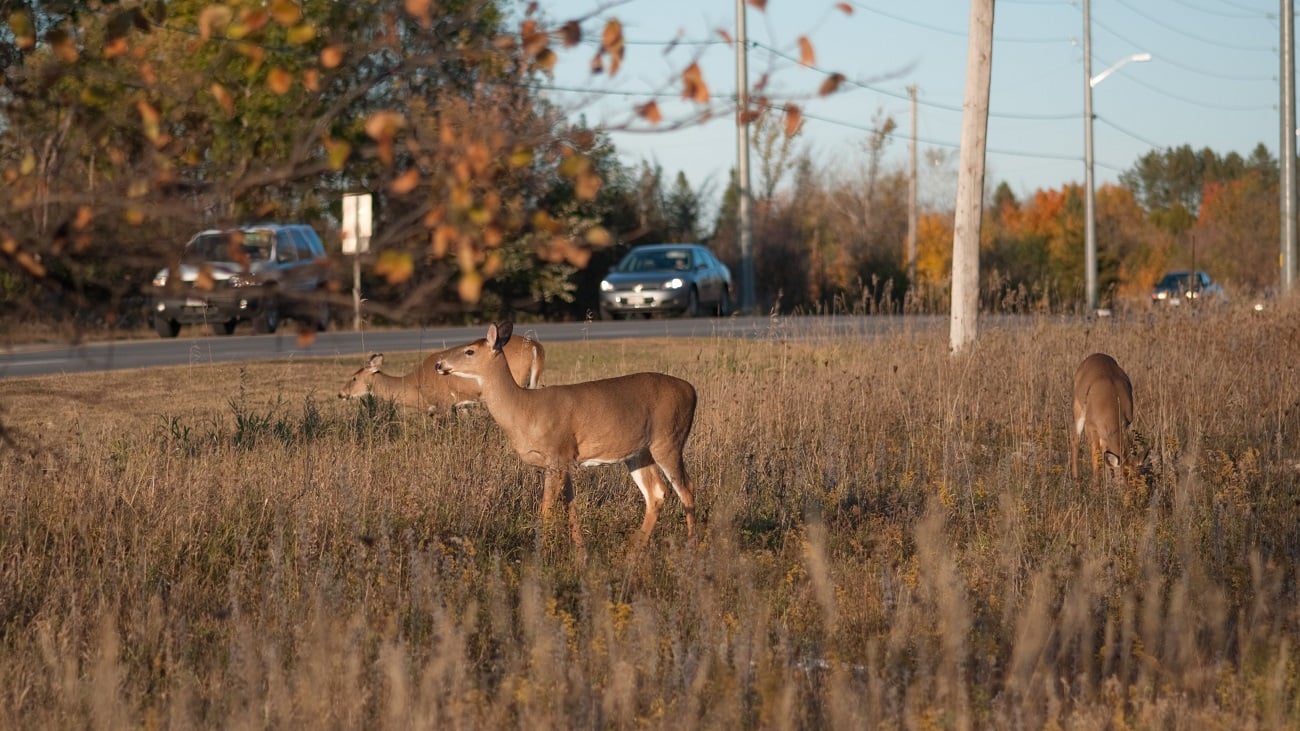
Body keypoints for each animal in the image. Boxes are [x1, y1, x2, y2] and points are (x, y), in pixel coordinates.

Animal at [338, 332, 546, 413]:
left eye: (354, 378)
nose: (341, 394)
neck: (415, 384)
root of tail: (536, 347)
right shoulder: (460, 404)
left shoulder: (444, 403)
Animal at [434, 318, 702, 546]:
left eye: (469, 351)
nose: (439, 364)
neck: (524, 409)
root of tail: (692, 390)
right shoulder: (565, 460)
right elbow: (570, 505)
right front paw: (580, 553)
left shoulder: (556, 454)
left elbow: (546, 508)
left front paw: (541, 552)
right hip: (639, 452)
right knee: (656, 492)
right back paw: (634, 550)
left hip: (668, 439)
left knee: (686, 489)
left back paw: (691, 545)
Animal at [1071, 351, 1133, 481]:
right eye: (1121, 478)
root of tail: (1096, 355)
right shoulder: (1090, 427)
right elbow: (1096, 461)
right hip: (1078, 410)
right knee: (1075, 439)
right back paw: (1075, 479)